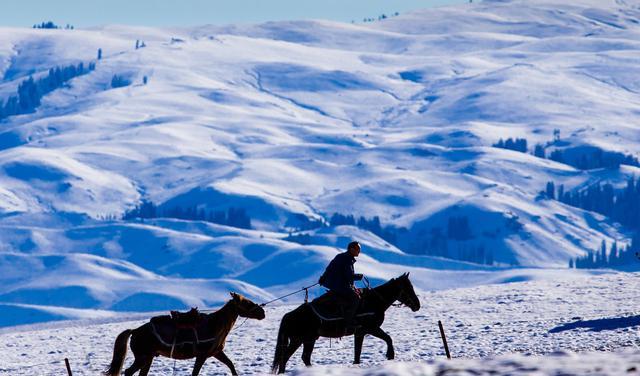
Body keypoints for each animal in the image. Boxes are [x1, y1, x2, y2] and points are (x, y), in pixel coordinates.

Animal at [105, 294, 264, 376]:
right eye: (247, 302)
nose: (262, 312)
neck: (215, 325)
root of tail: (135, 331)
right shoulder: (202, 355)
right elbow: (195, 373)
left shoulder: (216, 352)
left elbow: (230, 365)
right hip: (142, 358)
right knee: (128, 372)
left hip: (147, 358)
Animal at [270, 274, 420, 374]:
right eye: (408, 288)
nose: (417, 305)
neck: (373, 301)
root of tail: (289, 315)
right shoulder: (371, 328)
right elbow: (388, 338)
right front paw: (390, 355)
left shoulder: (360, 333)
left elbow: (357, 353)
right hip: (303, 339)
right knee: (293, 357)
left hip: (304, 340)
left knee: (294, 357)